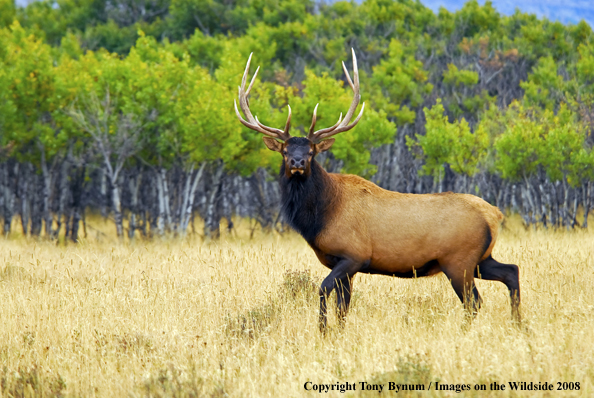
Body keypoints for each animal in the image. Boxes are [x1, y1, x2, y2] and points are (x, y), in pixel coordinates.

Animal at [232, 49, 520, 332]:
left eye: (312, 151)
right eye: (284, 150)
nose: (297, 163)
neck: (320, 217)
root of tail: (494, 215)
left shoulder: (354, 256)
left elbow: (323, 289)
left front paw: (322, 331)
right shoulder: (344, 264)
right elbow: (343, 308)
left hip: (459, 261)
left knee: (474, 302)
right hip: (481, 258)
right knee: (511, 272)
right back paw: (518, 324)